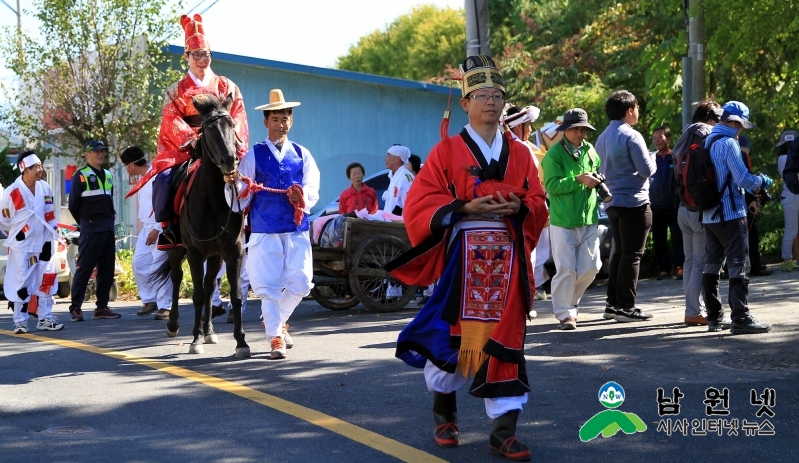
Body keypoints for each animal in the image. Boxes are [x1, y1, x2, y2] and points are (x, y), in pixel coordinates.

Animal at [152, 92, 248, 358]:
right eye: (207, 129)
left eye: (231, 125)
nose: (229, 160)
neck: (213, 199)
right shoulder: (194, 251)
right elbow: (195, 295)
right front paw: (194, 340)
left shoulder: (233, 250)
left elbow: (235, 294)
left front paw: (241, 341)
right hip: (176, 249)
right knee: (177, 277)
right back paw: (174, 325)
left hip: (214, 255)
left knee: (209, 284)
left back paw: (209, 331)